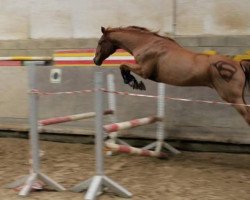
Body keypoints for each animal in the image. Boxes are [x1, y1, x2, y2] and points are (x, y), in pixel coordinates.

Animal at [93, 25, 250, 124]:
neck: (146, 44)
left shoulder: (144, 71)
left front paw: (134, 83)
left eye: (100, 42)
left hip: (233, 98)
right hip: (239, 97)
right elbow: (124, 66)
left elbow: (123, 65)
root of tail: (238, 64)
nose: (95, 60)